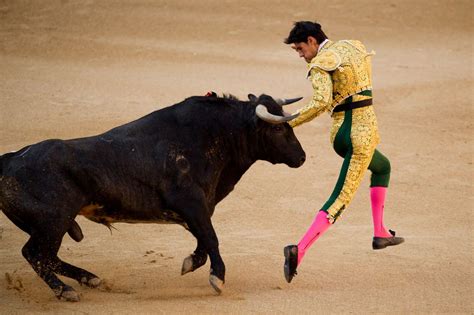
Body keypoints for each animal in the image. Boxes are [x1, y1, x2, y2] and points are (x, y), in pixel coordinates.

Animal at [0, 93, 306, 302]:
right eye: (278, 128)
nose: (302, 157)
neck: (215, 137)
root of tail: (10, 159)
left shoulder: (198, 208)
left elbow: (204, 240)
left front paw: (190, 263)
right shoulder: (191, 203)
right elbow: (211, 237)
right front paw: (217, 278)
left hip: (55, 225)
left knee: (47, 256)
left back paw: (90, 279)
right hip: (53, 222)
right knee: (35, 254)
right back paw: (66, 290)